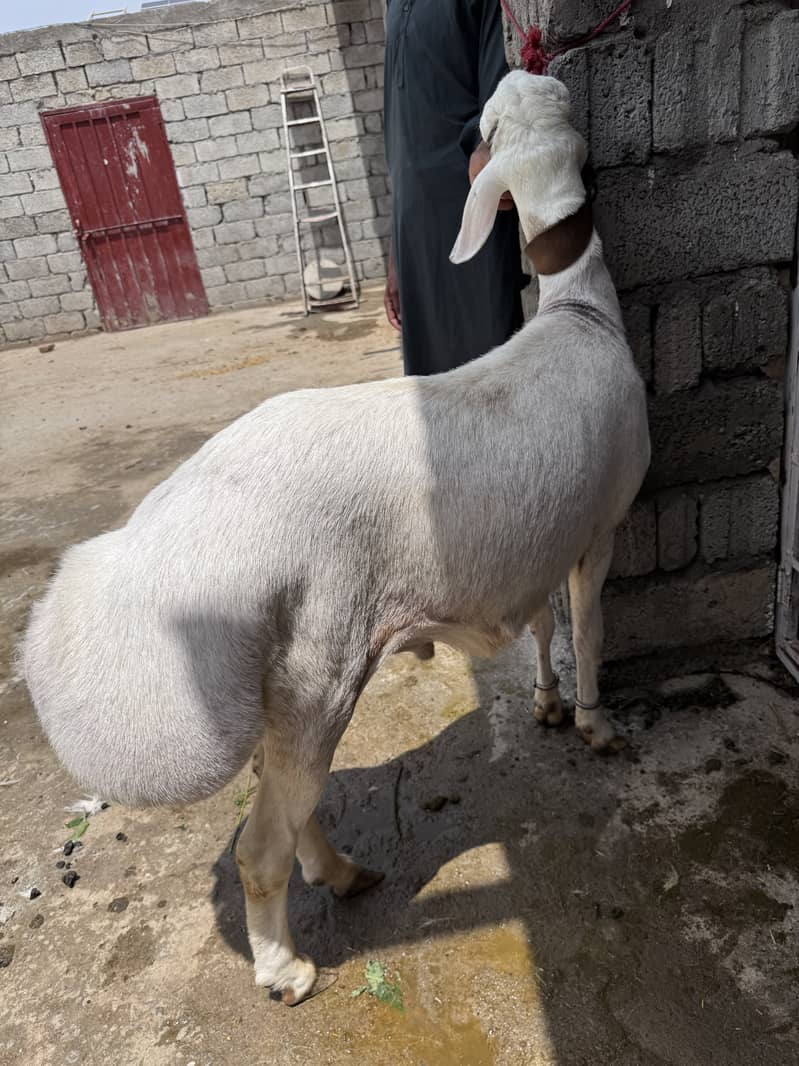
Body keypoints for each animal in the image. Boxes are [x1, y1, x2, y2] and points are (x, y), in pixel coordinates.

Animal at [23, 71, 650, 1006]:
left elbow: (542, 626)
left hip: (286, 677)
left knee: (279, 794)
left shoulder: (537, 540)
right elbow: (591, 630)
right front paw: (593, 724)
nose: (532, 72)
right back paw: (284, 967)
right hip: (322, 659)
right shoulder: (599, 526)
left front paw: (543, 701)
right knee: (257, 848)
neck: (578, 309)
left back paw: (342, 872)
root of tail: (174, 539)